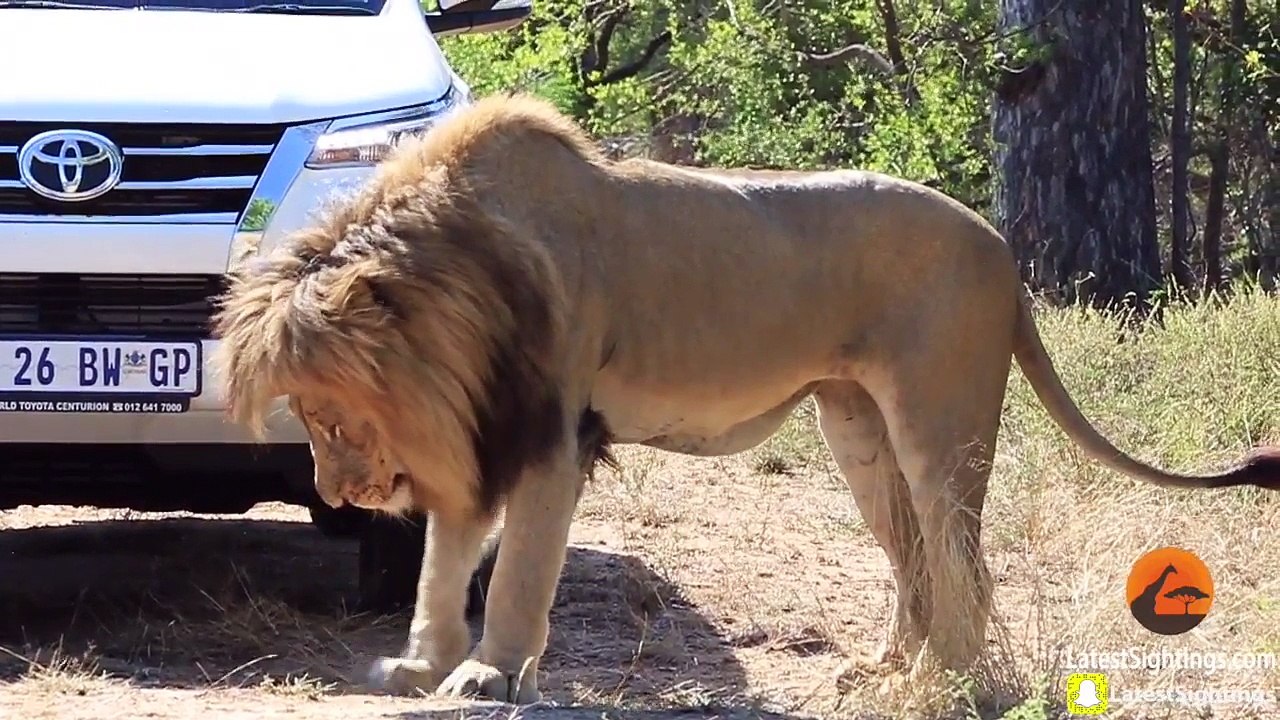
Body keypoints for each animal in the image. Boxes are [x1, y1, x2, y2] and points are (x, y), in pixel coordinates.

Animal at [210, 92, 1280, 704]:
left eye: (325, 414)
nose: (336, 492)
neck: (460, 270)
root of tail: (1002, 249)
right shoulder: (484, 432)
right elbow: (444, 564)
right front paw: (422, 666)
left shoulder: (553, 433)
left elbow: (515, 574)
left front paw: (488, 675)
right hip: (857, 432)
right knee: (912, 556)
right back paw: (886, 666)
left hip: (939, 426)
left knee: (961, 558)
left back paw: (941, 680)